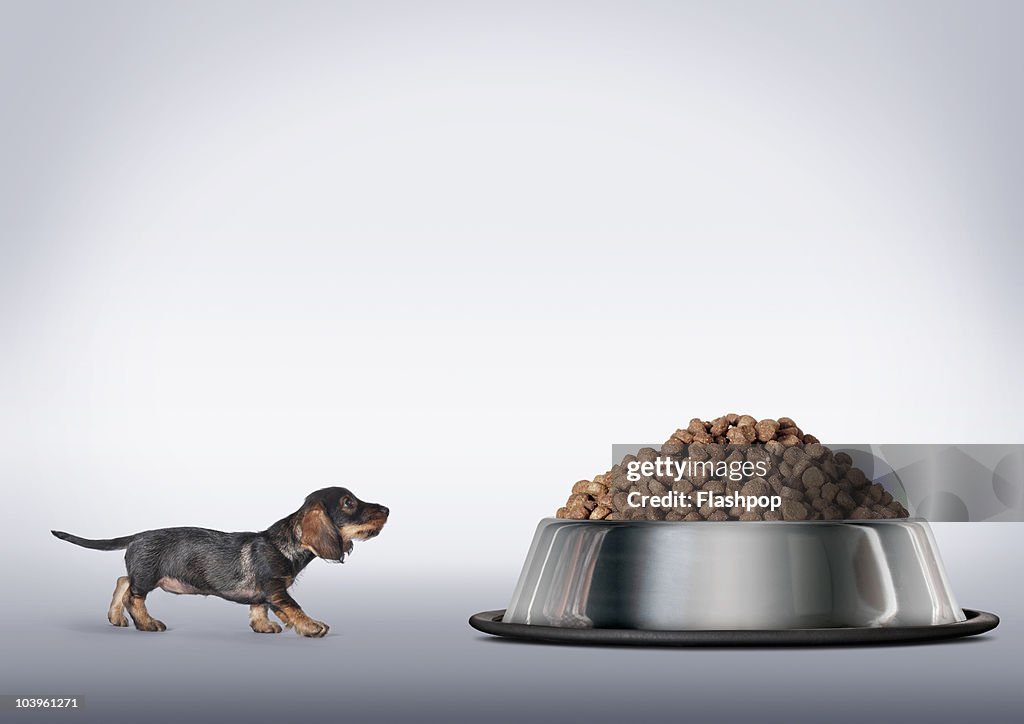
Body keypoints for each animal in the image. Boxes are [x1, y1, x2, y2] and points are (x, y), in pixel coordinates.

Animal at [49, 489, 389, 639]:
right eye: (349, 503)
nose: (386, 509)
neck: (285, 542)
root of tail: (137, 536)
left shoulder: (263, 593)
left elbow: (258, 608)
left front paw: (263, 627)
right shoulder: (276, 588)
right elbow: (295, 608)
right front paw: (312, 626)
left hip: (144, 575)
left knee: (122, 581)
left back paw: (115, 618)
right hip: (148, 576)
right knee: (134, 596)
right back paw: (146, 624)